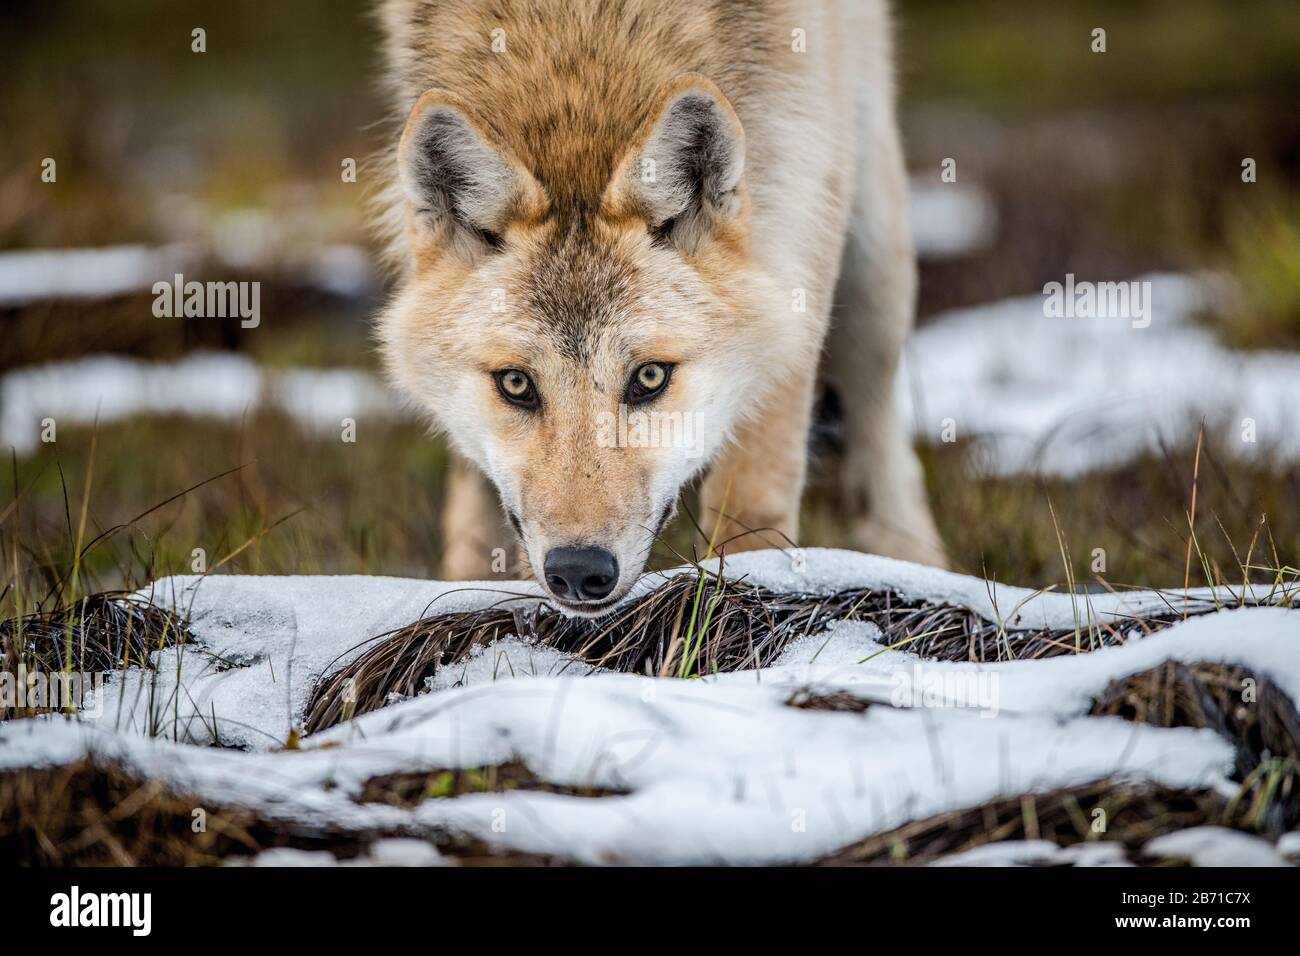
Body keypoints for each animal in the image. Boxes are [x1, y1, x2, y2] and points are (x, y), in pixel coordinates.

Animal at [374, 0, 946, 613]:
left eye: (650, 377)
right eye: (516, 384)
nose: (579, 571)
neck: (578, 57)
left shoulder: (799, 238)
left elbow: (753, 502)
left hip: (872, 253)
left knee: (879, 417)